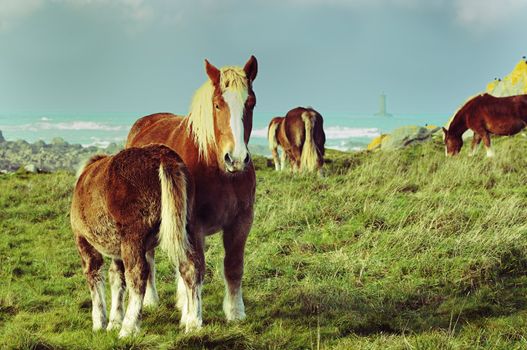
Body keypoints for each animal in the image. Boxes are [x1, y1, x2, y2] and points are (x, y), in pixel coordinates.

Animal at [69, 144, 195, 336]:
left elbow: (94, 276)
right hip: (184, 229)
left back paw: (128, 329)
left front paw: (99, 323)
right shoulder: (116, 248)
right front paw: (114, 322)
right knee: (190, 267)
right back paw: (193, 323)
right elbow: (116, 278)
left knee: (137, 274)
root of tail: (163, 157)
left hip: (133, 237)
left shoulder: (84, 241)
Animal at [126, 55, 258, 326]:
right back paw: (153, 300)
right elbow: (194, 269)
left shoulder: (241, 221)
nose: (237, 159)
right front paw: (194, 320)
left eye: (250, 103)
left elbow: (233, 266)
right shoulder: (192, 225)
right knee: (150, 257)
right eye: (217, 105)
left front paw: (235, 313)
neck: (217, 168)